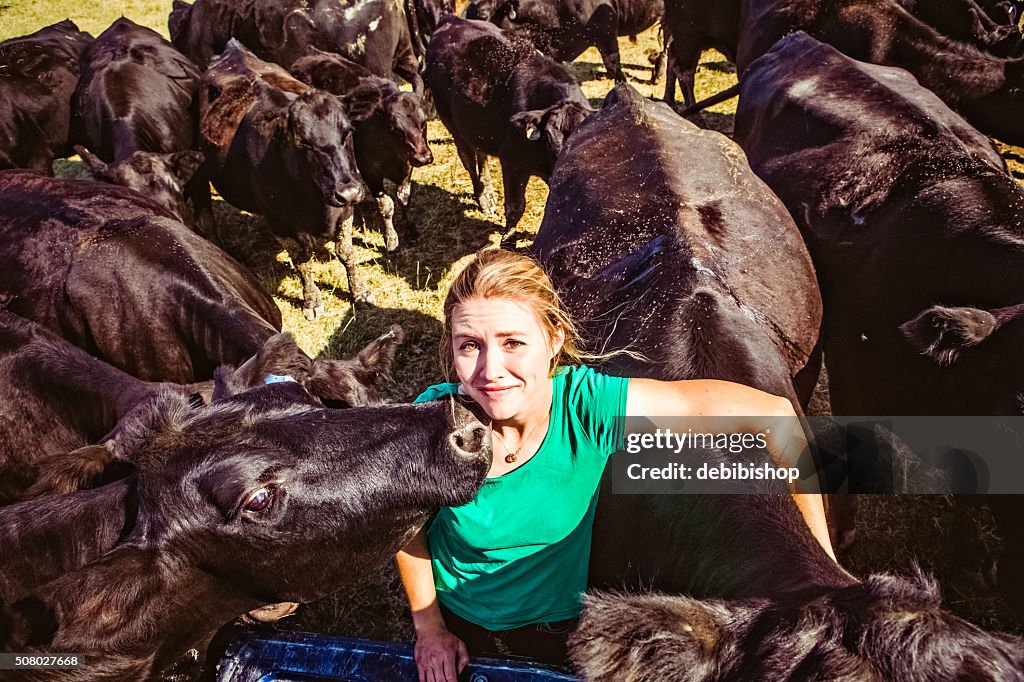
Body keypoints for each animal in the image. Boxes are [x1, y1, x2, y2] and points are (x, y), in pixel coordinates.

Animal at [425, 14, 589, 244]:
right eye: (548, 138)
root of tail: (452, 20)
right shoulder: (512, 162)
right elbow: (515, 206)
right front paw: (507, 240)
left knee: (481, 156)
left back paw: (489, 193)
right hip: (453, 125)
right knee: (469, 160)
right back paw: (483, 199)